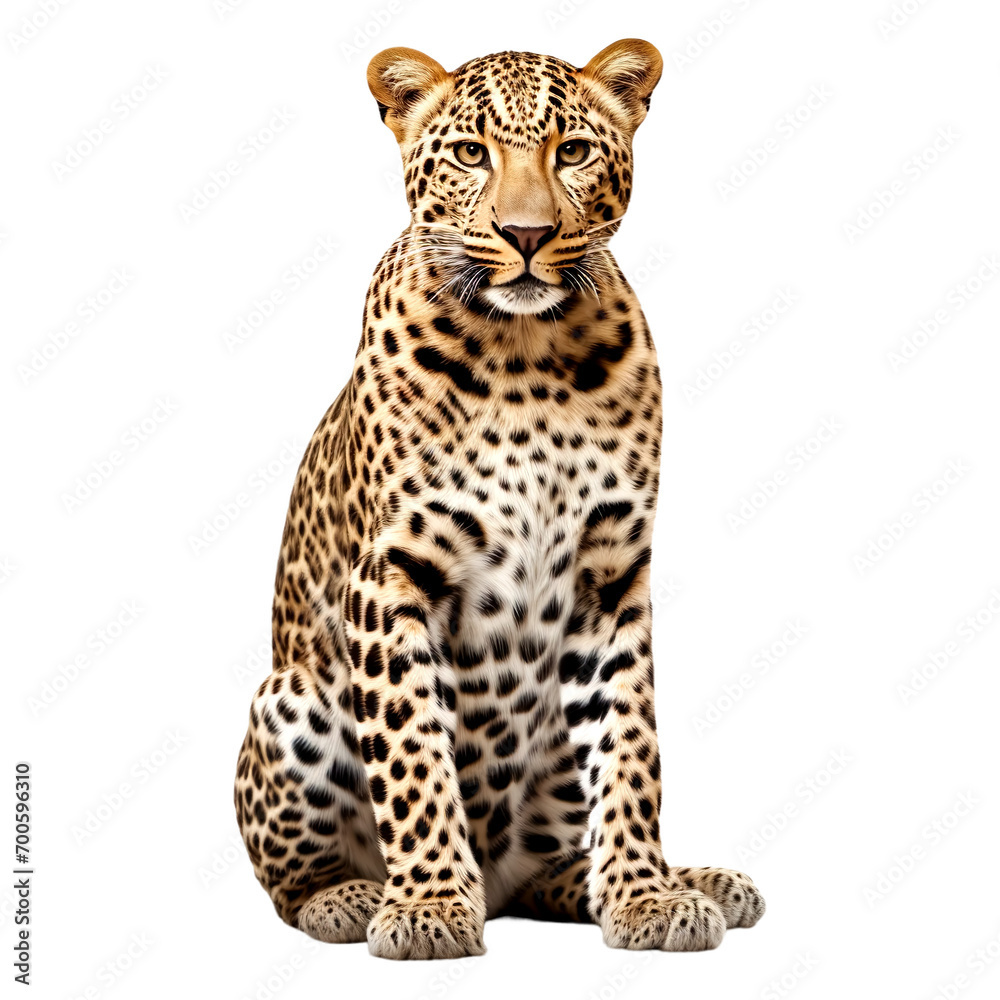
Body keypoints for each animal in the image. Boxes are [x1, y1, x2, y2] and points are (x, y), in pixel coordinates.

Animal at [234, 38, 765, 960]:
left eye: (574, 151)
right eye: (472, 154)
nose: (526, 234)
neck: (527, 354)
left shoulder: (610, 575)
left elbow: (632, 748)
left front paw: (645, 895)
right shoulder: (392, 573)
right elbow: (413, 751)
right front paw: (429, 906)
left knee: (548, 866)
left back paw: (682, 879)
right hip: (289, 701)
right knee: (287, 880)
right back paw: (353, 895)